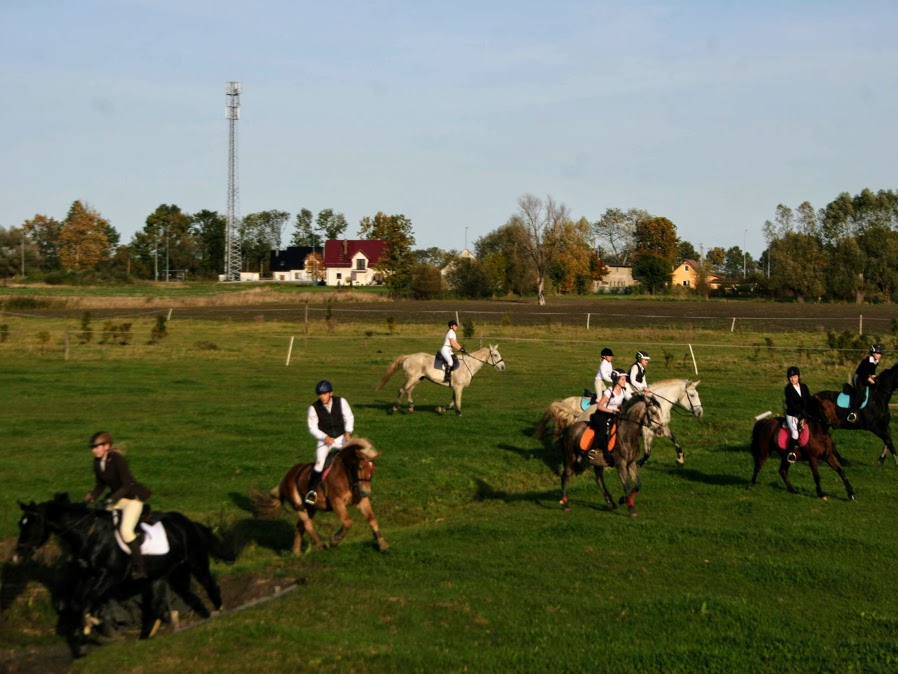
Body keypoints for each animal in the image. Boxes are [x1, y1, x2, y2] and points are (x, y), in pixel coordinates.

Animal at [13, 494, 233, 640]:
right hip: (166, 575)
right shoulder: (89, 576)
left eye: (31, 525)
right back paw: (149, 634)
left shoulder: (108, 576)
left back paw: (219, 613)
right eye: (20, 524)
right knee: (169, 601)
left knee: (210, 586)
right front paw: (92, 622)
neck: (89, 534)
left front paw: (90, 625)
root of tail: (190, 524)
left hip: (196, 564)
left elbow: (89, 600)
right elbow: (79, 602)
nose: (17, 556)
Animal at [250, 436, 386, 552]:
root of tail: (286, 477)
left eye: (374, 468)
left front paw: (382, 543)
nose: (365, 491)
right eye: (360, 468)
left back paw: (296, 552)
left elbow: (372, 519)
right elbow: (348, 521)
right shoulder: (336, 501)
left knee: (300, 526)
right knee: (307, 524)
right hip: (298, 504)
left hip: (311, 507)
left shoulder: (362, 500)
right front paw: (334, 540)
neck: (347, 475)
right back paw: (321, 544)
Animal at [374, 344, 504, 412]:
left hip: (418, 379)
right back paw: (395, 407)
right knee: (402, 390)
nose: (503, 367)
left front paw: (442, 409)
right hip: (411, 378)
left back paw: (411, 407)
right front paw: (457, 412)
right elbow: (457, 400)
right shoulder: (458, 387)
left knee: (408, 390)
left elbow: (453, 400)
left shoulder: (456, 387)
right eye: (495, 355)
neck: (469, 364)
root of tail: (408, 357)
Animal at [576, 376, 704, 464]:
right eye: (692, 395)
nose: (700, 413)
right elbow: (647, 453)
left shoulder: (661, 427)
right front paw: (638, 464)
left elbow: (674, 438)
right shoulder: (647, 431)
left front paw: (680, 459)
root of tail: (582, 414)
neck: (659, 404)